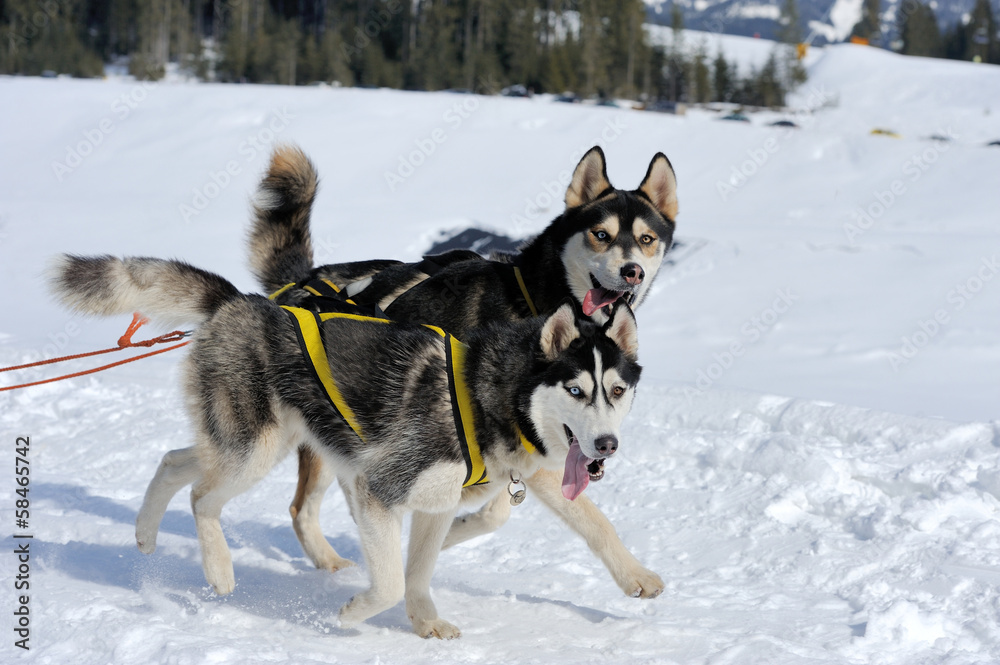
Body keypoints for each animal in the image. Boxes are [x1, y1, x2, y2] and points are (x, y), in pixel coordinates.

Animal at [48, 254, 640, 640]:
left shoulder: (435, 506)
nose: (606, 445)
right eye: (575, 390)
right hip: (254, 451)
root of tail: (241, 301)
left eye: (616, 391)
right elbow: (389, 584)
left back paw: (146, 533)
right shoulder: (378, 489)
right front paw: (353, 613)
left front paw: (425, 622)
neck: (485, 397)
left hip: (255, 441)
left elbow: (417, 574)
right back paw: (218, 568)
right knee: (201, 497)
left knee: (175, 461)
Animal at [248, 144, 680, 596]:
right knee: (303, 507)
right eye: (601, 234)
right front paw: (635, 575)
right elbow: (577, 513)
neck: (533, 301)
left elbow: (495, 509)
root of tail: (305, 282)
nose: (632, 271)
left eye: (646, 240)